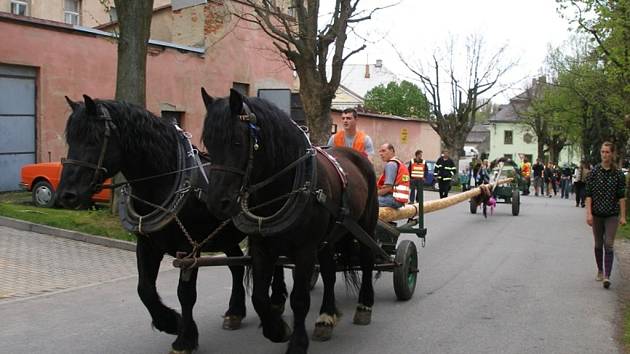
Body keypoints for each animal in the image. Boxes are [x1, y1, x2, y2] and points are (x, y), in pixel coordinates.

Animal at [56, 95, 288, 352]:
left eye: (94, 139)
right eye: (70, 139)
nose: (66, 195)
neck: (168, 179)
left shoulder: (190, 248)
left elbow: (185, 293)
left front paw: (185, 338)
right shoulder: (147, 245)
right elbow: (144, 289)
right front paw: (169, 322)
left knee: (276, 262)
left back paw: (277, 301)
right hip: (226, 236)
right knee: (236, 266)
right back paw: (235, 312)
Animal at [202, 88, 380, 354]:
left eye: (236, 141)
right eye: (208, 143)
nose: (216, 203)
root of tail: (359, 157)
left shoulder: (305, 249)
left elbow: (299, 299)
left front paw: (297, 342)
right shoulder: (262, 247)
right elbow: (259, 297)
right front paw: (277, 330)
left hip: (365, 226)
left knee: (367, 262)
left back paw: (364, 306)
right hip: (328, 238)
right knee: (329, 272)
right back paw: (326, 316)